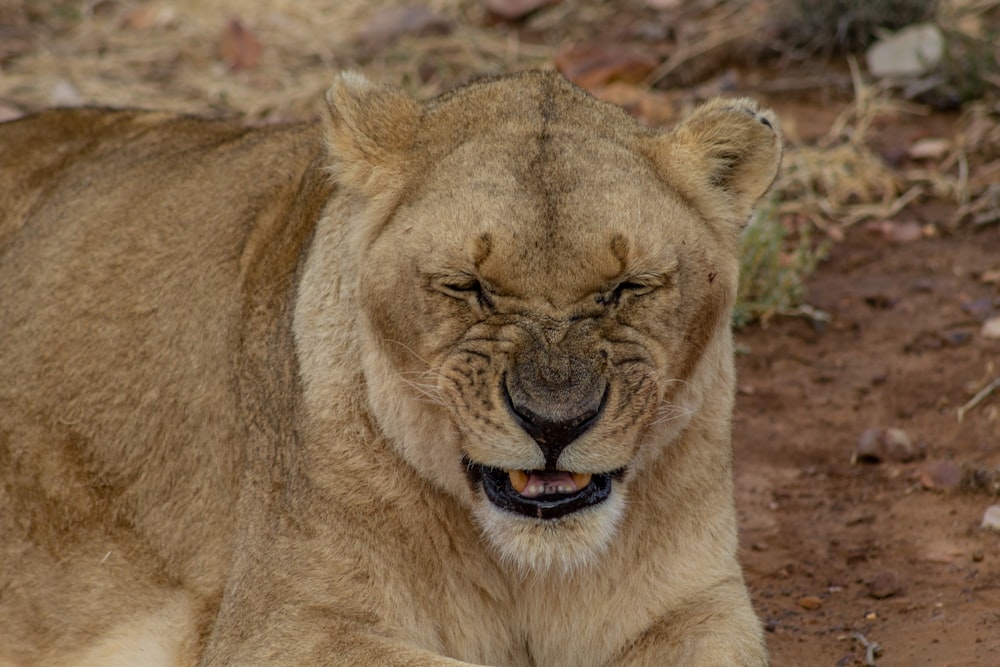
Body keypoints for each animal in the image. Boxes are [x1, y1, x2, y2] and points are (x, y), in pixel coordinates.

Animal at [0, 70, 780, 664]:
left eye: (628, 287)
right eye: (467, 285)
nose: (554, 422)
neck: (522, 568)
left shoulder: (700, 606)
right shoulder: (284, 625)